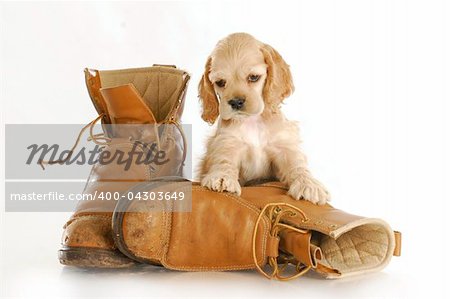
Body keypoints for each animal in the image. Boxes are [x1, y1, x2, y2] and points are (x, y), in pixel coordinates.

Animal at [199, 33, 328, 206]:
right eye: (220, 82)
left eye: (253, 77)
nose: (236, 102)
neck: (253, 121)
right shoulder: (227, 141)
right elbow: (224, 160)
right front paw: (222, 177)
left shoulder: (283, 146)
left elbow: (296, 163)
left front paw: (309, 184)